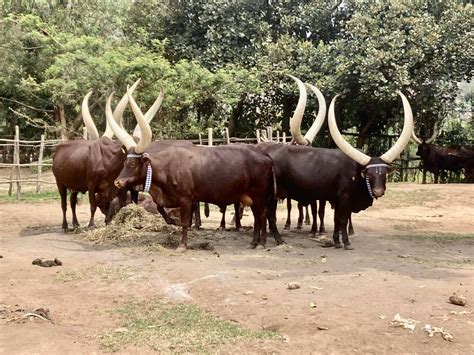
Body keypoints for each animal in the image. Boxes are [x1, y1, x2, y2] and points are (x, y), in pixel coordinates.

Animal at [106, 88, 278, 252]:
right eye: (124, 162)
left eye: (132, 164)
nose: (118, 182)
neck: (168, 166)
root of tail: (266, 157)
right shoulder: (169, 198)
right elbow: (161, 209)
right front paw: (172, 221)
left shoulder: (186, 199)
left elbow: (184, 222)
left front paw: (182, 245)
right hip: (251, 197)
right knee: (258, 217)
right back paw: (253, 243)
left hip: (259, 195)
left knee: (262, 216)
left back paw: (261, 243)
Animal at [262, 77, 412, 250]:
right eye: (369, 174)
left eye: (384, 173)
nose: (378, 191)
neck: (356, 171)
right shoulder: (344, 198)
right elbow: (342, 220)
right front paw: (346, 242)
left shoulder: (335, 199)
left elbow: (336, 220)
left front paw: (336, 240)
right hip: (273, 195)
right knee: (270, 215)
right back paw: (278, 240)